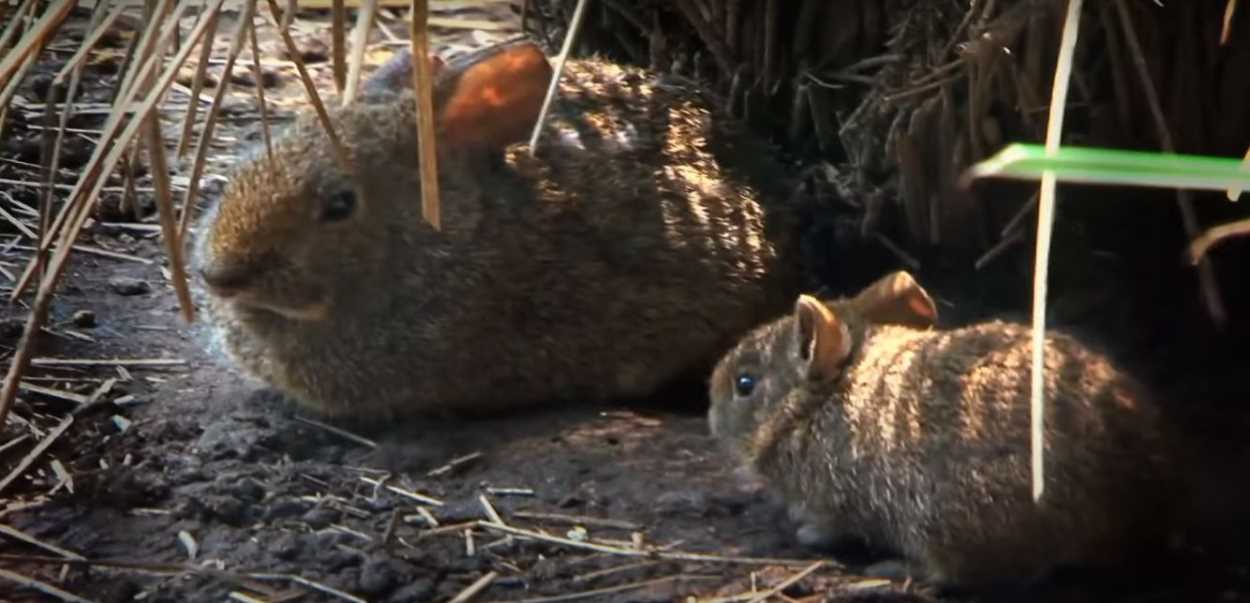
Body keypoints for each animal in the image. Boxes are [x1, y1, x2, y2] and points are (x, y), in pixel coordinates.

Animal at [715, 271, 1180, 587]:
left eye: (745, 384)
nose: (711, 413)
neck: (817, 401)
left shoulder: (836, 497)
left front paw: (807, 531)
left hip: (948, 518)